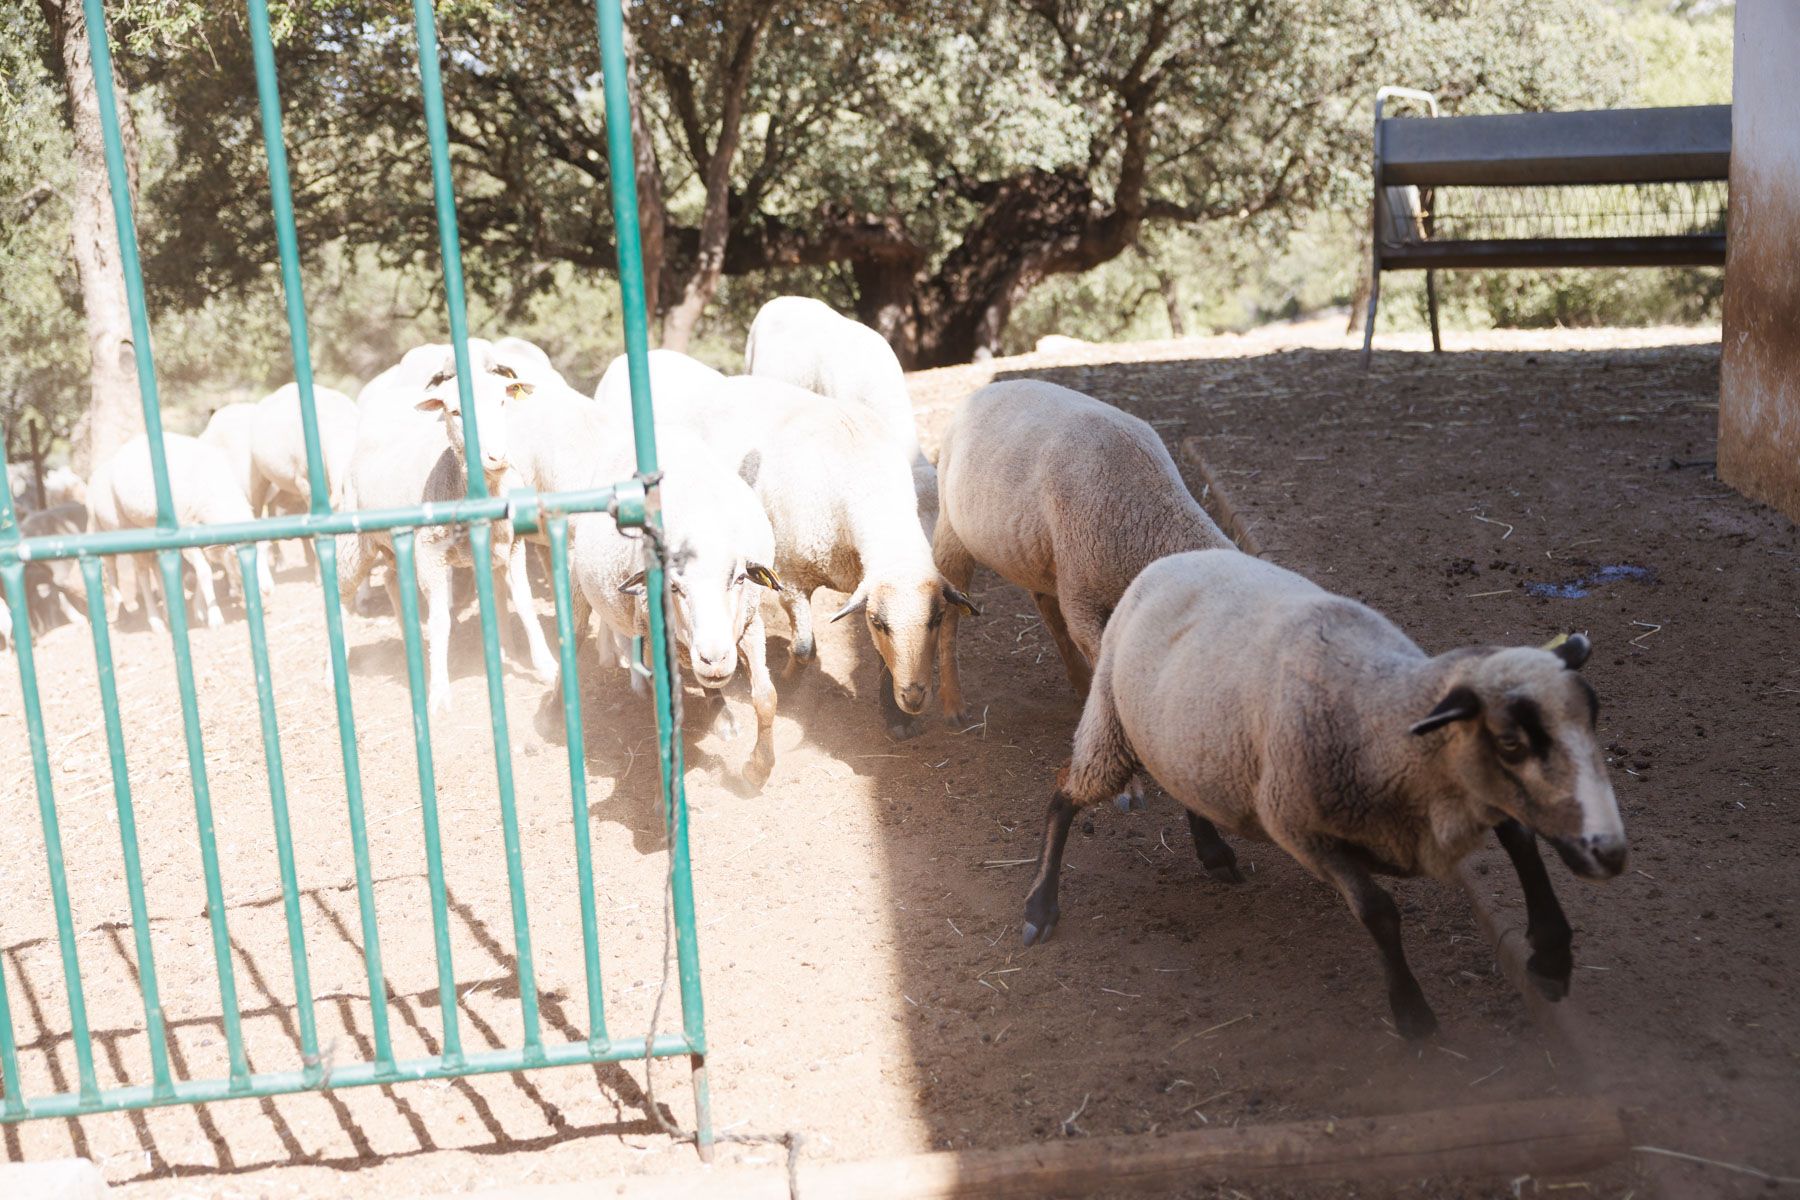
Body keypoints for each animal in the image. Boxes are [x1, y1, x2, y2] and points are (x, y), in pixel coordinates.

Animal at [87, 432, 273, 631]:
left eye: (267, 551)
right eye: (237, 558)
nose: (268, 590)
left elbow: (201, 571)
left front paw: (199, 611)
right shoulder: (187, 534)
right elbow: (205, 572)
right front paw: (215, 617)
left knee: (155, 567)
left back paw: (168, 611)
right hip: (119, 529)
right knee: (134, 572)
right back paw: (151, 619)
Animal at [335, 339, 558, 713]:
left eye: (502, 402)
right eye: (455, 412)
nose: (497, 457)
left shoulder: (512, 547)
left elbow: (525, 603)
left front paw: (547, 667)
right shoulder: (431, 554)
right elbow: (440, 620)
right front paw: (439, 692)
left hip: (395, 546)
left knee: (392, 581)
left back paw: (412, 646)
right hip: (354, 546)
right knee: (337, 596)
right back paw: (331, 673)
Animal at [932, 380, 1231, 742]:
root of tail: (988, 388)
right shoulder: (1082, 600)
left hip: (1039, 556)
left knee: (1046, 605)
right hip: (953, 532)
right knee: (951, 615)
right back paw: (953, 705)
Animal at [1020, 548, 1628, 1039]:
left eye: (1592, 716)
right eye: (1510, 742)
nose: (1611, 852)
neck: (1379, 710)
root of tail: (1163, 563)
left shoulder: (1466, 793)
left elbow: (1522, 840)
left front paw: (1552, 956)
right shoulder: (1302, 831)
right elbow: (1379, 912)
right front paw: (1413, 1014)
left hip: (1188, 740)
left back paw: (1212, 852)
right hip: (1112, 724)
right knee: (1063, 795)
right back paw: (1040, 905)